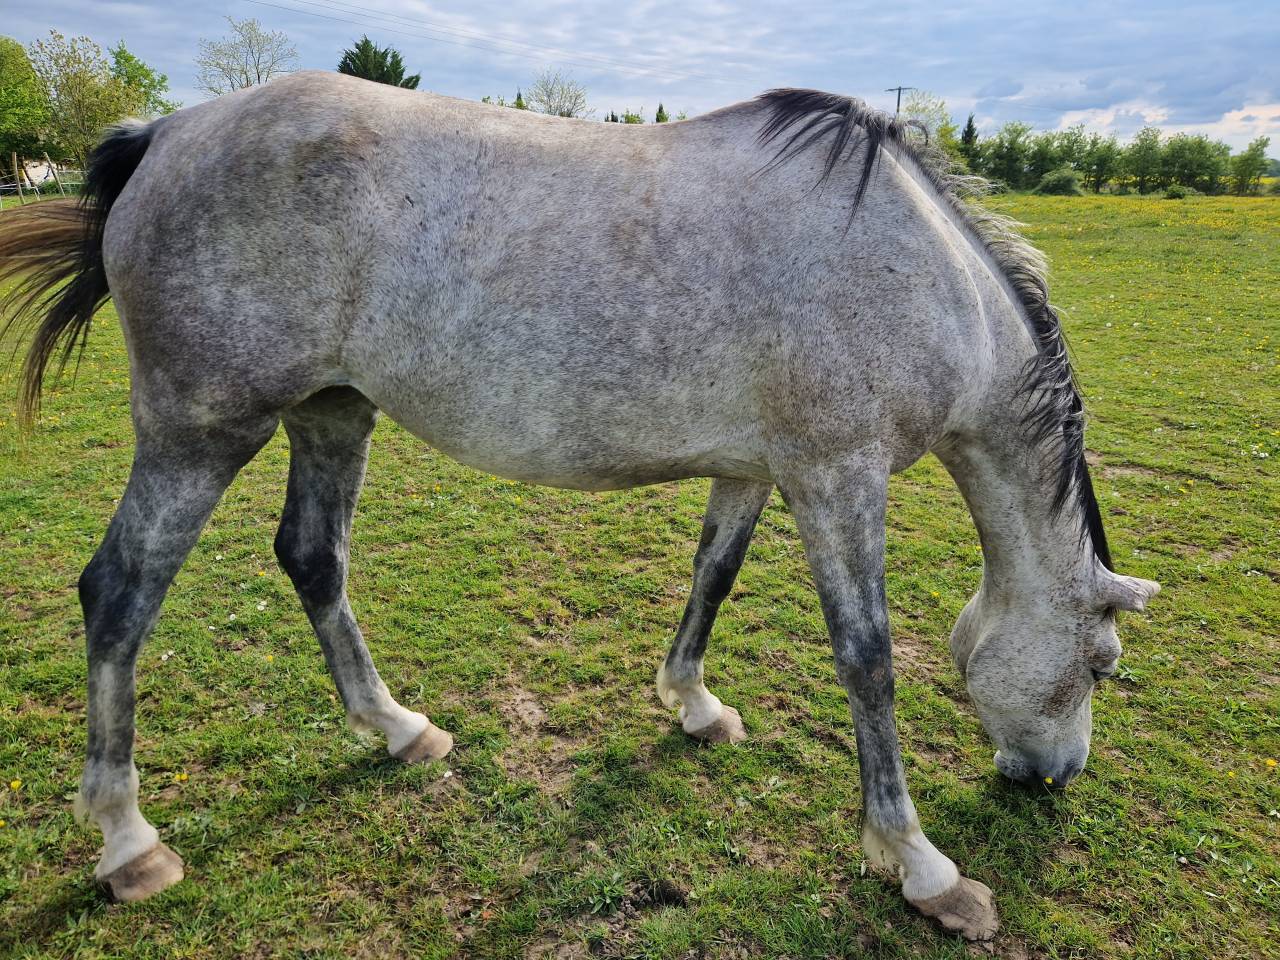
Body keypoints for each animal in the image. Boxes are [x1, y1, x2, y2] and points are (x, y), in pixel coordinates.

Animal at [0, 73, 1158, 941]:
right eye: (1099, 665)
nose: (1054, 778)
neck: (921, 269)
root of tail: (165, 132)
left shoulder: (756, 468)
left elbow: (713, 576)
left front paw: (690, 703)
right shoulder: (839, 475)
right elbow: (866, 661)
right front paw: (920, 866)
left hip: (333, 413)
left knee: (313, 559)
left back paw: (397, 728)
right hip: (201, 433)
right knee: (120, 594)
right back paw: (128, 843)